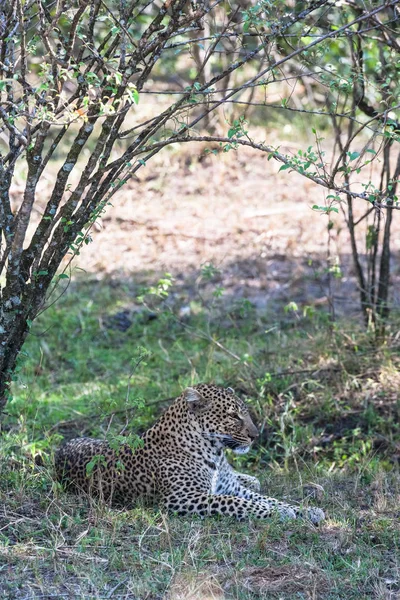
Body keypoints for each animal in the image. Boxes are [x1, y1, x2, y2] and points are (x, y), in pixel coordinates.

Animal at [55, 384, 324, 524]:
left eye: (244, 413)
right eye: (233, 416)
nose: (255, 436)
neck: (216, 453)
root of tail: (62, 448)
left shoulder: (230, 487)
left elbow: (265, 498)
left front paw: (307, 510)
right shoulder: (182, 498)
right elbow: (237, 503)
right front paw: (281, 513)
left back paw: (251, 478)